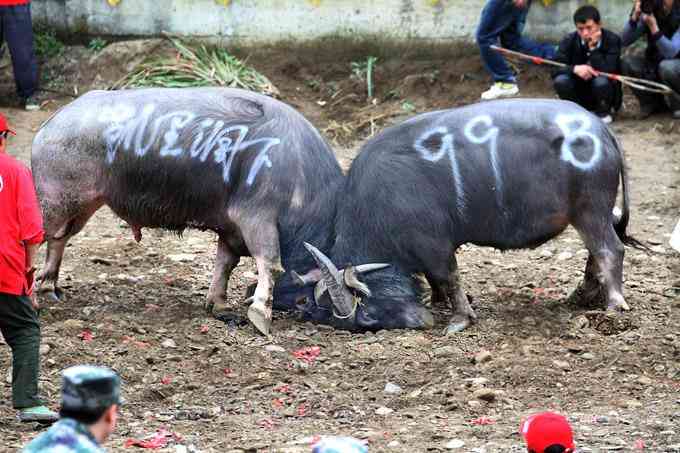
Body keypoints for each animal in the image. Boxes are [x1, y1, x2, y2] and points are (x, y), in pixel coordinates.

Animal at [31, 86, 364, 334]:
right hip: (55, 201)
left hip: (82, 204)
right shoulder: (258, 219)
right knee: (38, 240)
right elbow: (270, 262)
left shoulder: (231, 229)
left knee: (59, 240)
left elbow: (225, 264)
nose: (346, 319)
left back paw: (49, 288)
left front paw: (219, 304)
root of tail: (51, 124)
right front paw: (261, 314)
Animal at [286, 98, 644, 332]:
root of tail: (599, 128)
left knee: (610, 250)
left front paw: (459, 318)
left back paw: (613, 305)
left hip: (590, 210)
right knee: (596, 252)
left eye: (366, 317)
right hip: (592, 214)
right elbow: (436, 279)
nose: (419, 321)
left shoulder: (434, 243)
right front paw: (437, 302)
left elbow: (449, 276)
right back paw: (583, 296)